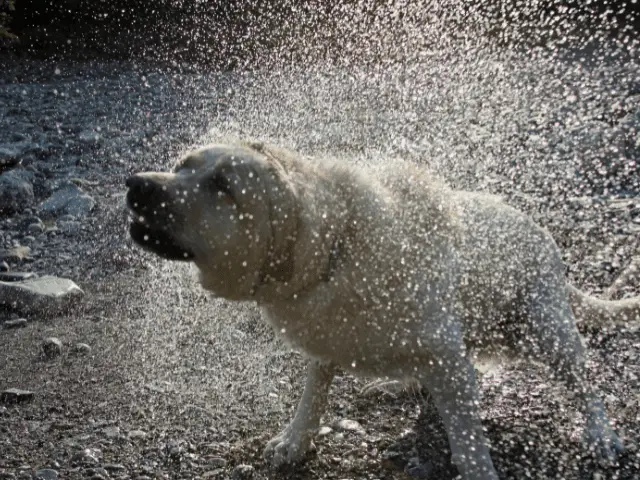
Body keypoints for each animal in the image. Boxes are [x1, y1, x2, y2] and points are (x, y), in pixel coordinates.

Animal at [125, 140, 636, 480]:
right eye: (182, 165)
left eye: (223, 185)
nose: (136, 185)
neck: (335, 246)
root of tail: (536, 225)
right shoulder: (326, 337)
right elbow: (313, 394)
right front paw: (295, 440)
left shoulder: (445, 354)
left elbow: (469, 443)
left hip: (546, 328)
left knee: (583, 381)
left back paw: (601, 434)